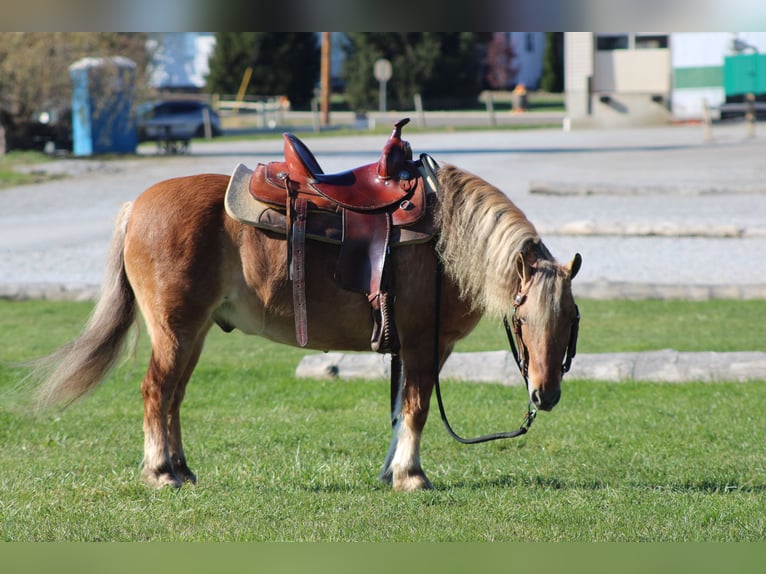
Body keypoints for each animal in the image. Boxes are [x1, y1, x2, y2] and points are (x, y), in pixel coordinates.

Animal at [27, 156, 581, 492]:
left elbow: (399, 411)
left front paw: (390, 472)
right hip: (174, 332)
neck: (447, 243)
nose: (546, 395)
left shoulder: (411, 348)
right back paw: (161, 472)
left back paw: (182, 470)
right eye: (523, 314)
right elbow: (417, 407)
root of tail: (135, 206)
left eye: (572, 318)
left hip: (193, 334)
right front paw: (411, 476)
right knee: (154, 391)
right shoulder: (424, 344)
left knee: (174, 397)